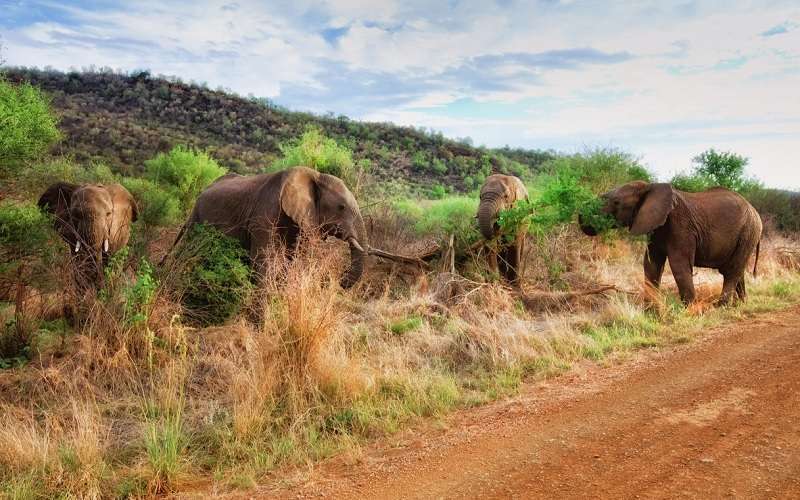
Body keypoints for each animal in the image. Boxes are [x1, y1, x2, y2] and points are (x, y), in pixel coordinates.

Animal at [580, 181, 764, 304]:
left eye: (616, 202)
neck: (649, 187)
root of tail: (755, 211)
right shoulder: (655, 228)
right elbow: (651, 265)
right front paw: (650, 311)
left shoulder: (680, 225)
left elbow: (678, 265)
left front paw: (689, 310)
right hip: (747, 235)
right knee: (737, 270)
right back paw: (740, 305)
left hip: (748, 232)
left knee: (731, 271)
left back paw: (721, 307)